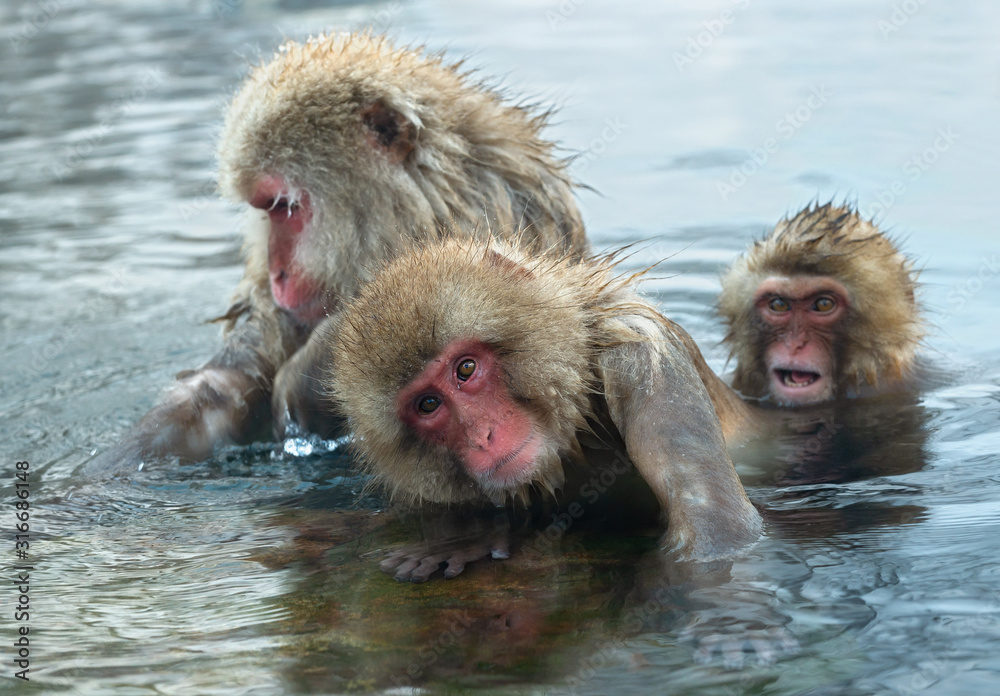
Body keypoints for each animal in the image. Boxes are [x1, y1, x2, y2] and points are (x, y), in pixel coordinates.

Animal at [324, 237, 764, 579]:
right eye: (428, 403)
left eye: (465, 368)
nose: (482, 436)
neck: (576, 419)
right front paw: (470, 539)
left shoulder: (645, 361)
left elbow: (718, 536)